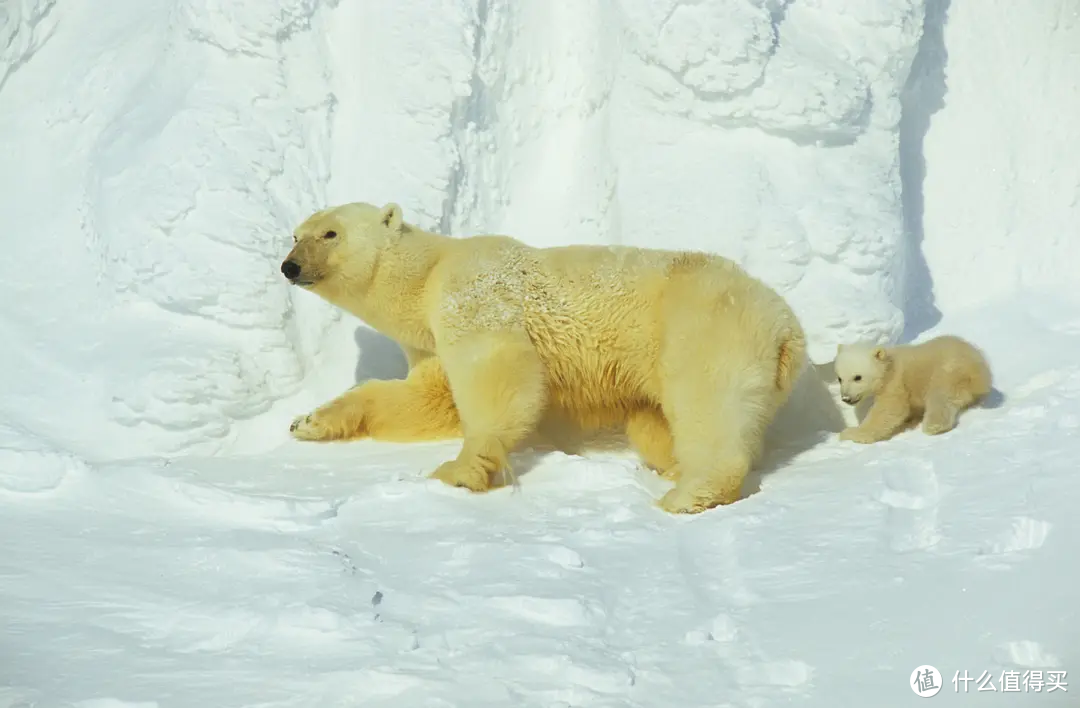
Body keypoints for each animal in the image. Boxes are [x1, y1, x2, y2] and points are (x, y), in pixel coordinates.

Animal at [282, 198, 807, 513]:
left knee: (707, 405)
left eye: (330, 234)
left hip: (704, 329)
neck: (426, 276)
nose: (289, 266)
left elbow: (498, 371)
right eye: (294, 234)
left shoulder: (470, 291)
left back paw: (687, 494)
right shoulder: (427, 342)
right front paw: (308, 422)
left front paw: (460, 470)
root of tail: (789, 330)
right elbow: (425, 398)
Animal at [833, 336, 993, 444]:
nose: (846, 398)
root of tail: (977, 365)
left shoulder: (895, 383)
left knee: (940, 398)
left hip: (947, 371)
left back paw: (933, 426)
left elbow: (888, 411)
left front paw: (850, 433)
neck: (888, 365)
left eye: (857, 377)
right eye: (839, 378)